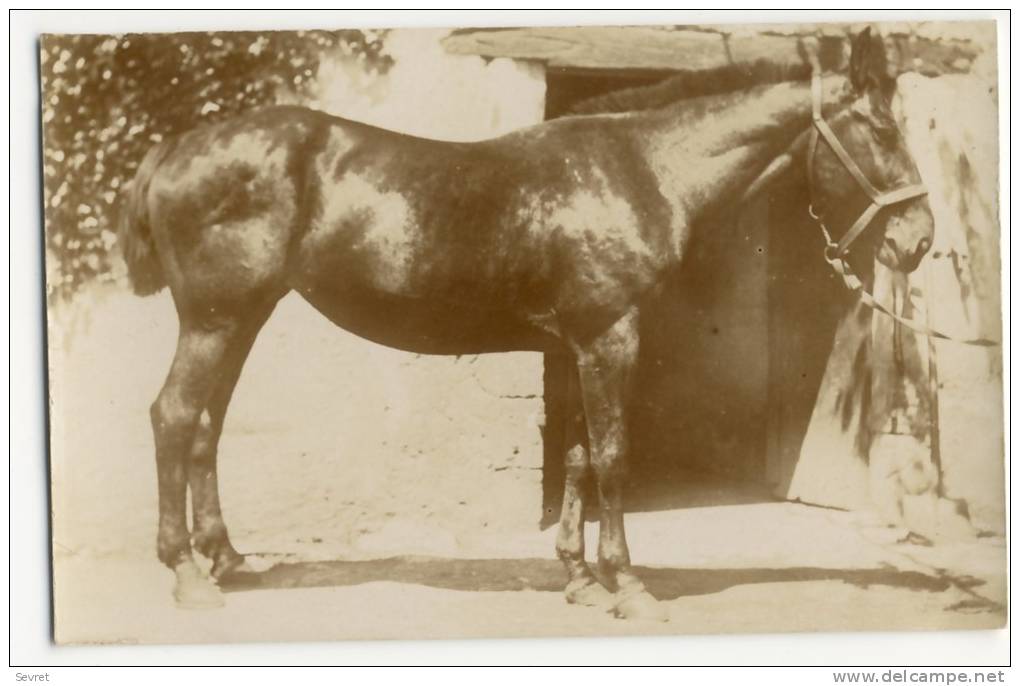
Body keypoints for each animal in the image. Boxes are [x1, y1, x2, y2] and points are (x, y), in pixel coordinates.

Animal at [117, 28, 934, 619]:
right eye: (881, 130)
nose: (920, 239)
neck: (643, 169)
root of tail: (175, 148)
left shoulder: (572, 344)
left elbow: (575, 456)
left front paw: (578, 577)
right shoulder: (610, 338)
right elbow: (612, 457)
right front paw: (628, 587)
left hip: (243, 317)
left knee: (205, 426)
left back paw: (228, 559)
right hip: (217, 320)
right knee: (174, 416)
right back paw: (189, 574)